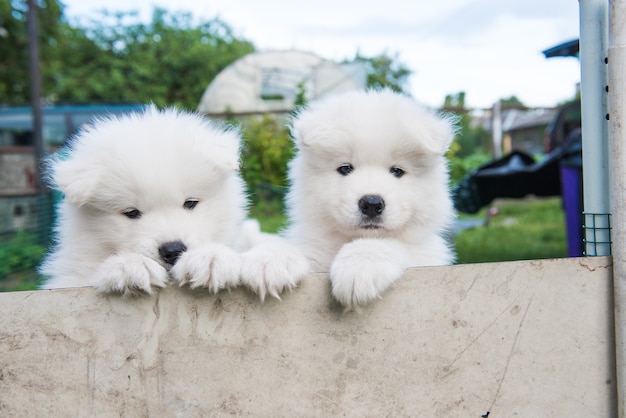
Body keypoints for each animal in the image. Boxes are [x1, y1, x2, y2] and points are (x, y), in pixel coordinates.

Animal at [39, 106, 304, 298]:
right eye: (131, 212)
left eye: (190, 203)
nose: (173, 250)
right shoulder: (68, 278)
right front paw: (130, 266)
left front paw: (212, 258)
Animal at [282, 89, 454, 310]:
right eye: (345, 168)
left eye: (397, 171)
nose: (372, 203)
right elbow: (302, 249)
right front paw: (271, 258)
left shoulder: (425, 257)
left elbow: (391, 244)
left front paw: (359, 265)